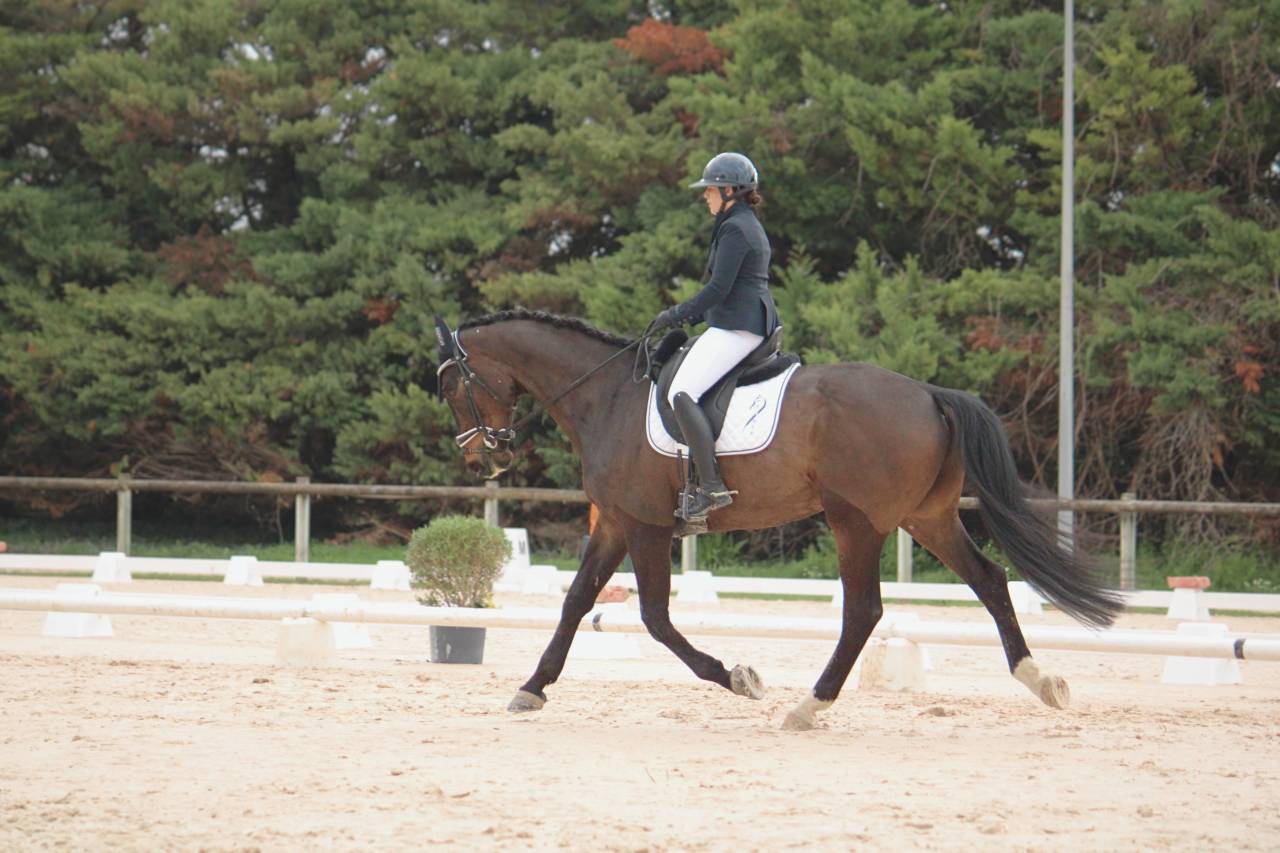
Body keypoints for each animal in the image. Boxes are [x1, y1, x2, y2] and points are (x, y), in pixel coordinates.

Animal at [433, 308, 1122, 730]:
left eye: (449, 385)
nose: (481, 458)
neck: (606, 398)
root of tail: (929, 393)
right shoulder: (614, 524)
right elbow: (576, 602)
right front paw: (532, 687)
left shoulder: (645, 526)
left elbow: (655, 619)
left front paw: (740, 678)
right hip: (926, 517)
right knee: (989, 581)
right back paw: (1041, 679)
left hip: (856, 521)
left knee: (863, 610)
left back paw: (807, 707)